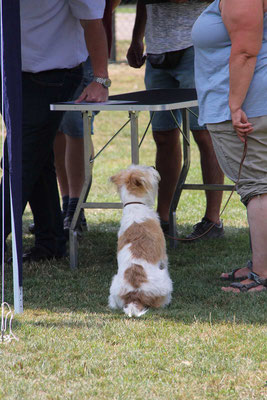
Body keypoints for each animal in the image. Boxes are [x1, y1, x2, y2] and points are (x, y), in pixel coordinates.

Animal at [109, 164, 174, 318]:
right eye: (145, 169)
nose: (153, 166)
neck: (135, 205)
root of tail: (134, 295)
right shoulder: (164, 256)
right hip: (166, 281)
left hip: (114, 285)